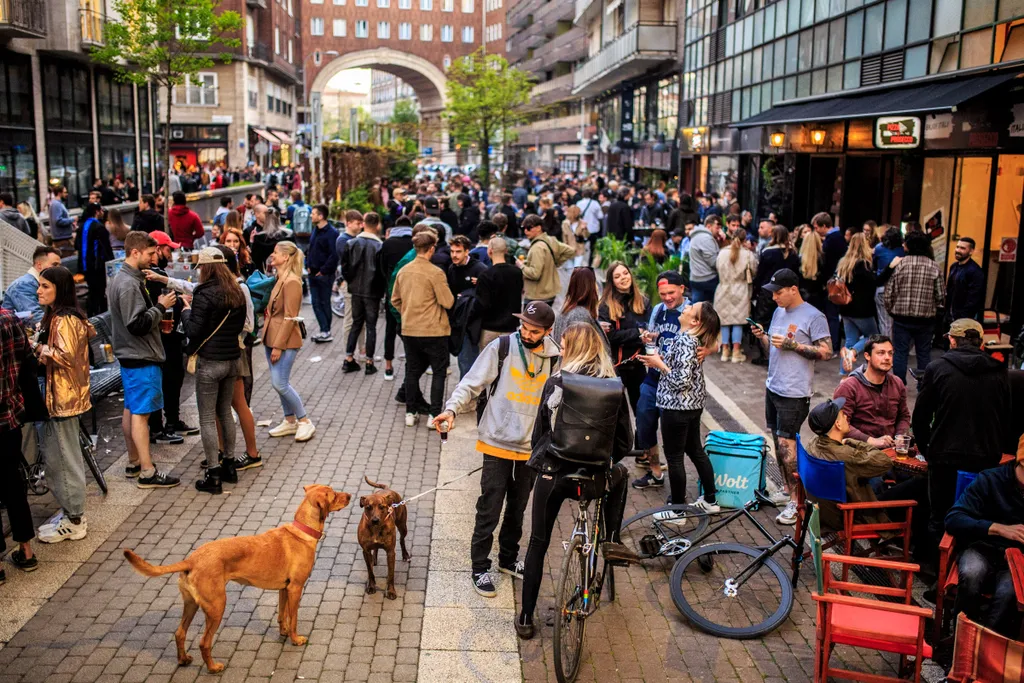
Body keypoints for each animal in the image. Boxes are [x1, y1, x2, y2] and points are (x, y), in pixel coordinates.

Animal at [120, 485, 348, 671]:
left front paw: (283, 633)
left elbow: (282, 615)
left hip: (191, 604)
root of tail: (191, 559)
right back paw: (213, 668)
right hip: (216, 606)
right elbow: (293, 619)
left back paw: (183, 660)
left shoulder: (284, 589)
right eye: (334, 495)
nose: (351, 495)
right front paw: (295, 639)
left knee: (179, 633)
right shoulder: (296, 588)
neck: (302, 532)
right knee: (204, 642)